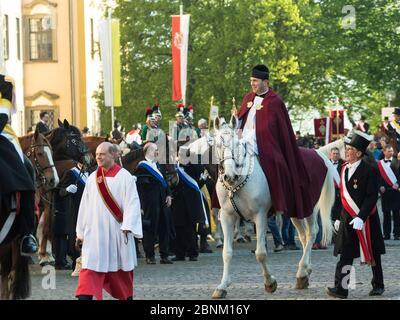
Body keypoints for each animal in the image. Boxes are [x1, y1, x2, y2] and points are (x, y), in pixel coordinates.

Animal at [191, 117, 338, 300]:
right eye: (218, 145)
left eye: (237, 144)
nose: (229, 176)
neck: (238, 184)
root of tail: (318, 154)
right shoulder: (227, 217)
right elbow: (227, 253)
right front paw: (222, 286)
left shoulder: (260, 216)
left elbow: (260, 253)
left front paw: (270, 282)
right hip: (295, 211)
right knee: (304, 236)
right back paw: (304, 272)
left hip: (308, 206)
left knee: (312, 233)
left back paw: (302, 272)